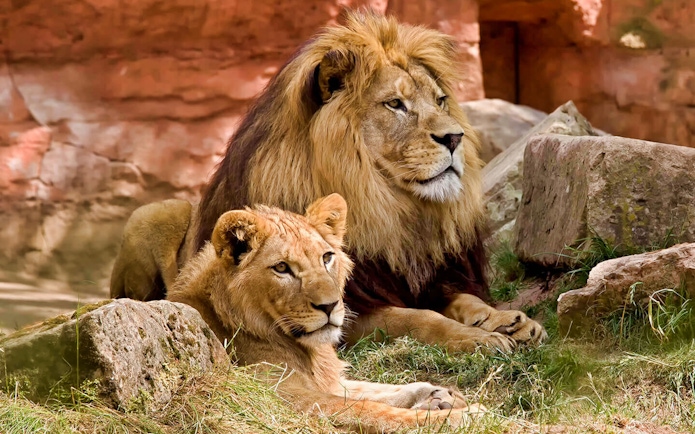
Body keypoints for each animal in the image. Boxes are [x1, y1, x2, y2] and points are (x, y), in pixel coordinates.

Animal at [167, 193, 484, 432]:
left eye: (327, 257)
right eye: (282, 268)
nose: (330, 305)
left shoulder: (326, 381)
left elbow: (373, 389)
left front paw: (437, 394)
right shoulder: (279, 398)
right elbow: (369, 409)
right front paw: (464, 416)